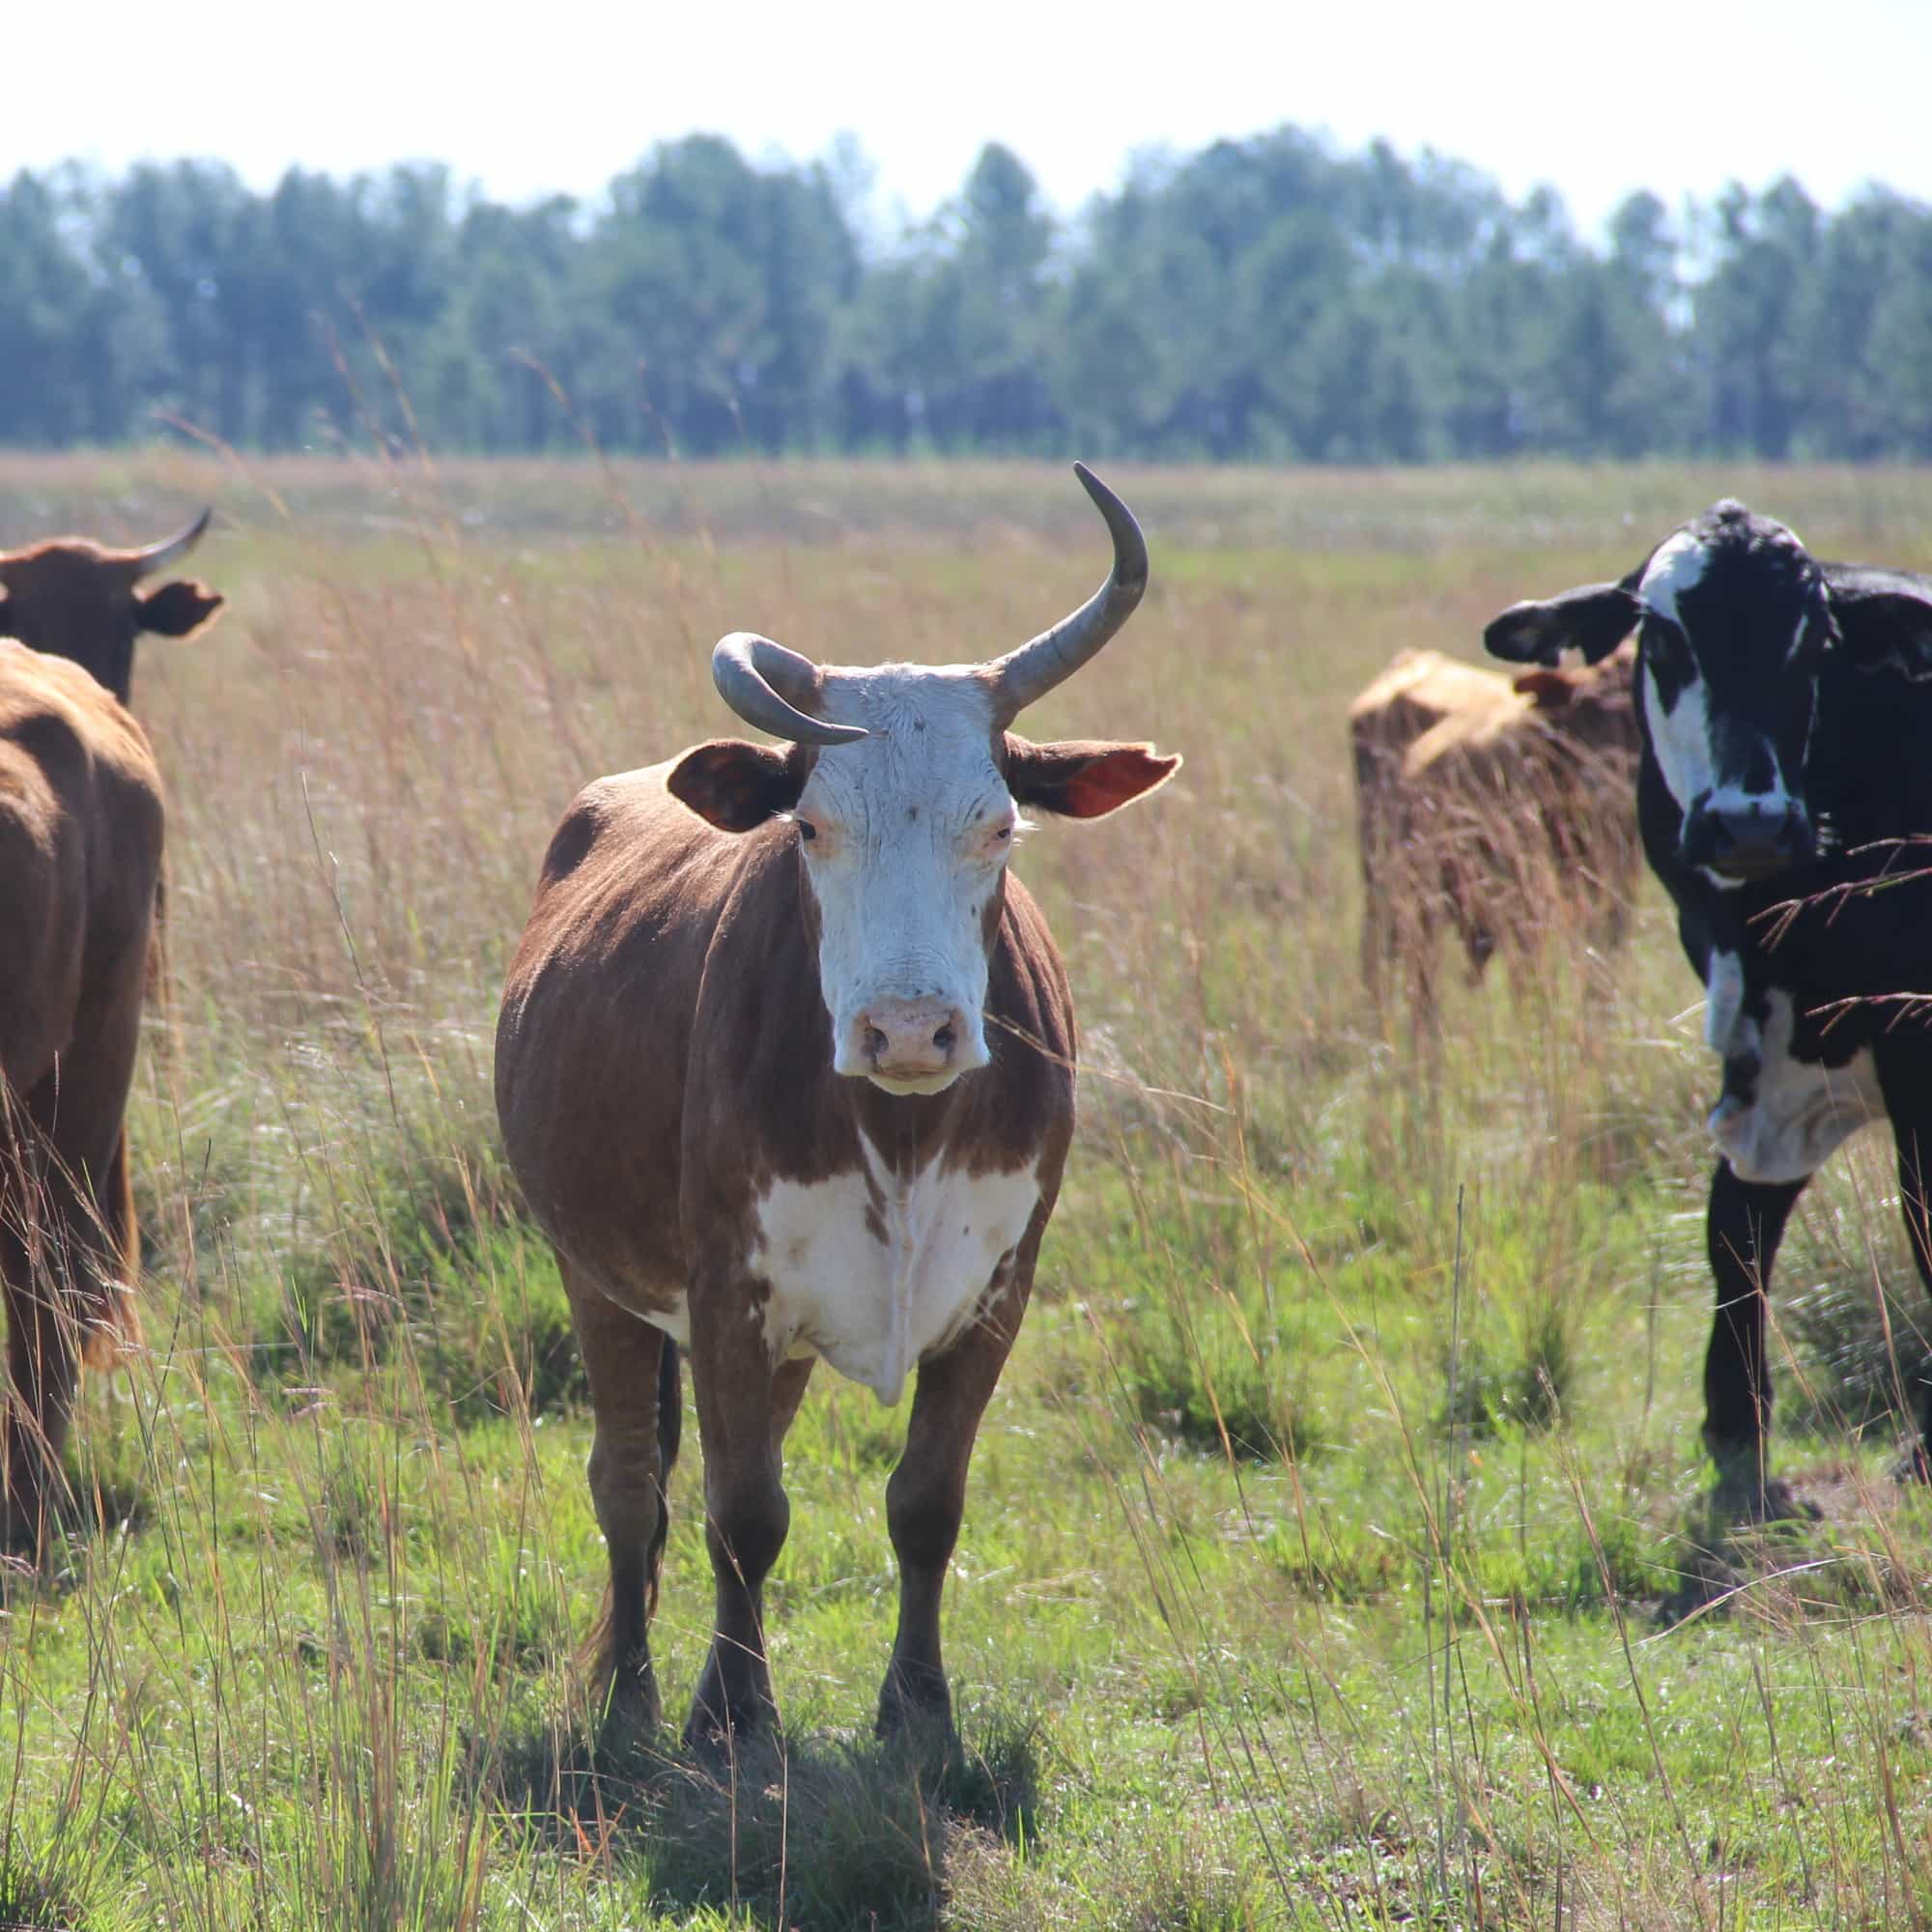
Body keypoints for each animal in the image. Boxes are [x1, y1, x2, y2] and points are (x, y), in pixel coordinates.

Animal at [496, 464, 1179, 1751]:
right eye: (810, 826)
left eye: (999, 824)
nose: (906, 1030)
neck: (900, 1129)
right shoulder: (727, 1290)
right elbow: (741, 1509)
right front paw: (732, 1712)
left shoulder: (997, 1290)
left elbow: (924, 1502)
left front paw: (917, 1708)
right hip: (594, 1277)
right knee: (628, 1486)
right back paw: (633, 1693)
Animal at [1484, 500, 1932, 1512]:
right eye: (1662, 640)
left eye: (1815, 643)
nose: (1751, 821)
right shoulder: (1762, 1055)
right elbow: (1737, 1224)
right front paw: (1734, 1421)